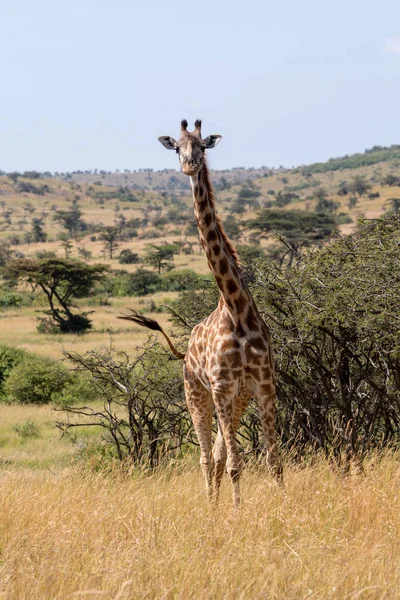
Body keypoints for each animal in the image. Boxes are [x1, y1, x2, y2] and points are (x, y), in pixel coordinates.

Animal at [122, 119, 282, 504]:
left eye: (202, 146)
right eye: (177, 148)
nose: (190, 165)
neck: (237, 309)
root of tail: (185, 351)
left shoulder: (262, 386)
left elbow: (273, 461)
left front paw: (282, 504)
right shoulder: (221, 387)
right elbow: (236, 463)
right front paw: (237, 512)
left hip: (235, 400)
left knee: (220, 454)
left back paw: (216, 503)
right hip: (195, 393)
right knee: (207, 457)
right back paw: (211, 507)